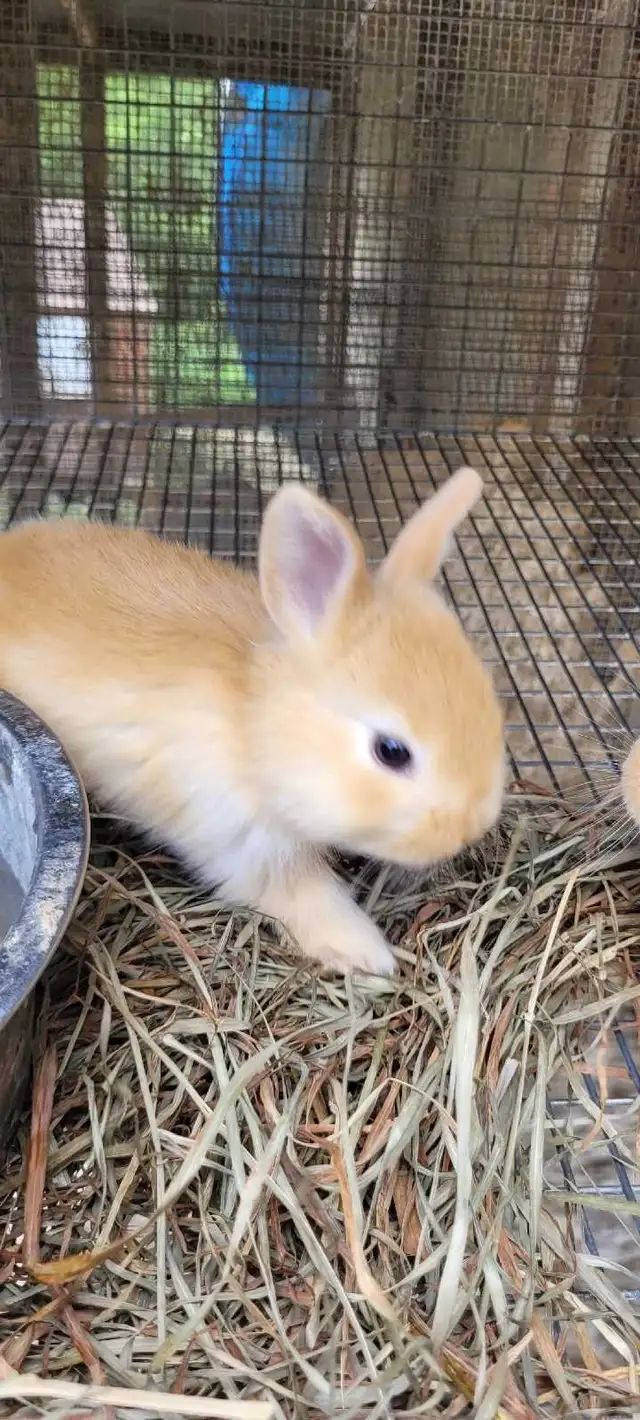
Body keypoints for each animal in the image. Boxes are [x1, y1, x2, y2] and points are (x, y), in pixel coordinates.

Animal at [0, 465, 505, 976]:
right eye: (391, 751)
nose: (470, 828)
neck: (252, 725)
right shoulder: (249, 848)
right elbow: (308, 899)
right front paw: (368, 957)